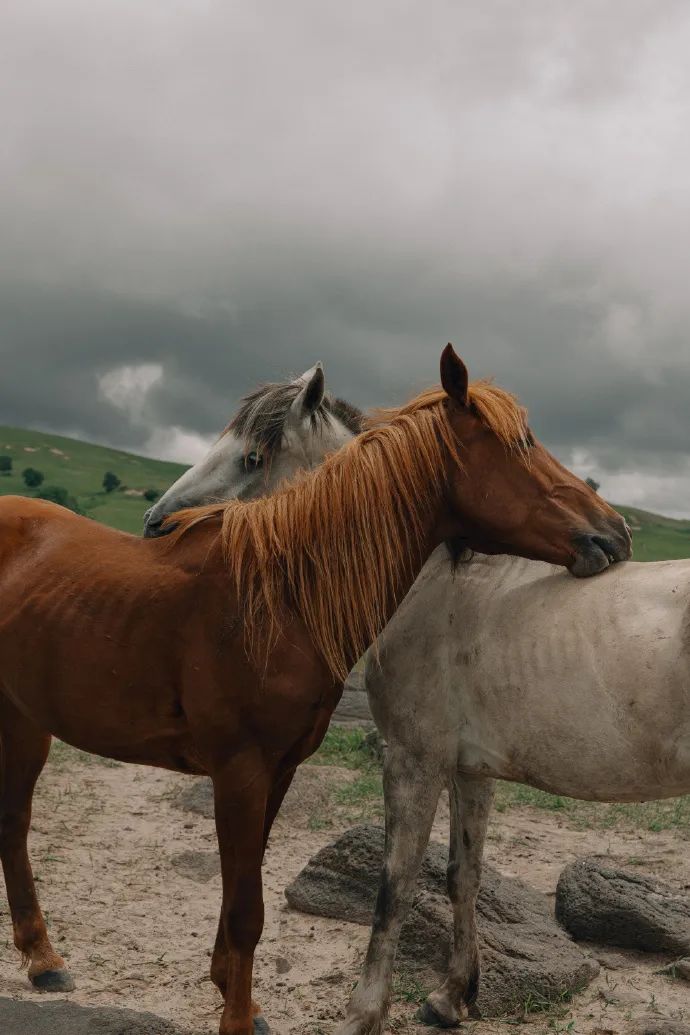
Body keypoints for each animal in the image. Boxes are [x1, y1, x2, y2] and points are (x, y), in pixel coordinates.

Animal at [339, 554, 690, 1030]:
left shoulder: (414, 759)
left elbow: (393, 889)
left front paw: (362, 1014)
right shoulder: (469, 771)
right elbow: (462, 877)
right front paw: (451, 997)